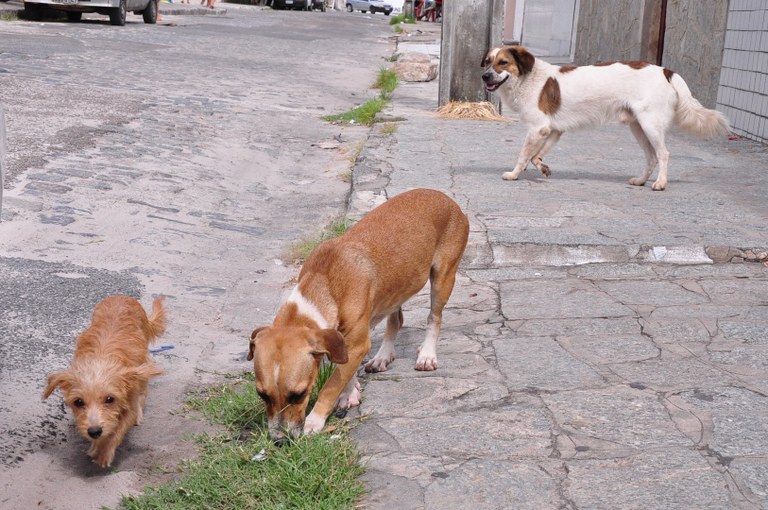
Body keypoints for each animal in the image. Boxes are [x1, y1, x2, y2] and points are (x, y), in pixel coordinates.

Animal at [43, 294, 165, 466]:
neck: (101, 359)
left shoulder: (129, 400)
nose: (94, 432)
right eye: (78, 402)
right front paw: (97, 446)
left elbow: (117, 430)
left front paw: (104, 452)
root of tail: (121, 296)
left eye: (110, 399)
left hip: (144, 367)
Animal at [249, 187, 472, 442]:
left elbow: (332, 384)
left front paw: (315, 420)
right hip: (396, 289)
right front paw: (350, 392)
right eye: (262, 394)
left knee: (434, 318)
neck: (324, 283)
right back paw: (383, 356)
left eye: (299, 394)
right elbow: (345, 368)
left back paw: (426, 354)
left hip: (443, 278)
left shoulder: (356, 343)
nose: (278, 440)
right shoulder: (344, 343)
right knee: (396, 320)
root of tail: (447, 198)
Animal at [484, 44, 728, 189]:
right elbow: (536, 156)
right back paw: (640, 180)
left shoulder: (538, 128)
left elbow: (524, 155)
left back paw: (660, 183)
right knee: (651, 157)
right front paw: (543, 168)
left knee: (663, 154)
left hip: (650, 125)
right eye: (487, 61)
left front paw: (513, 174)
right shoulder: (553, 129)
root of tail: (665, 71)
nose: (484, 75)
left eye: (503, 63)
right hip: (638, 127)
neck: (527, 78)